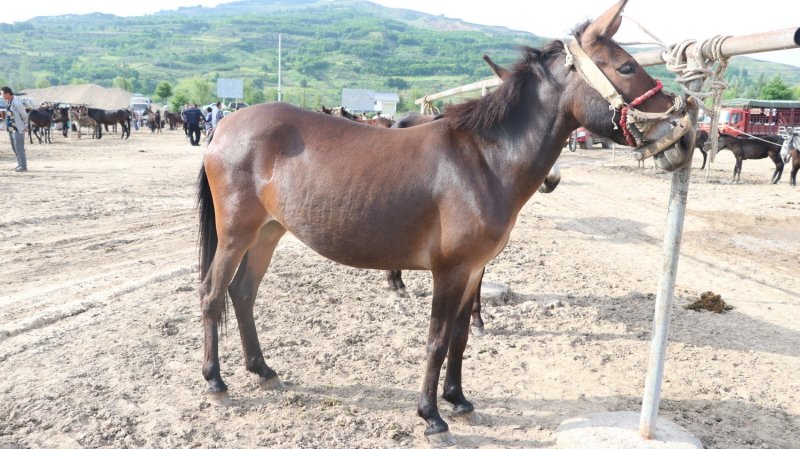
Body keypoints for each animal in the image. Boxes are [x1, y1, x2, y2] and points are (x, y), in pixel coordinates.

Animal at [196, 1, 693, 442]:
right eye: (626, 67)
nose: (685, 134)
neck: (485, 160)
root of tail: (224, 128)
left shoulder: (472, 271)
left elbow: (459, 337)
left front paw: (459, 399)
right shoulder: (449, 271)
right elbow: (436, 339)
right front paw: (431, 416)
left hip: (268, 232)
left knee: (243, 294)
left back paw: (262, 370)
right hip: (236, 233)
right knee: (212, 293)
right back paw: (216, 381)